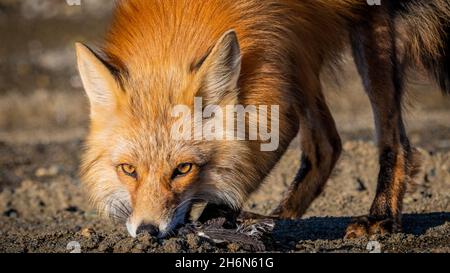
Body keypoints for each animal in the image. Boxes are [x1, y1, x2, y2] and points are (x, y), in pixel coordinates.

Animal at [76, 0, 450, 237]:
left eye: (184, 169)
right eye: (128, 170)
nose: (147, 231)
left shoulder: (277, 70)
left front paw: (215, 220)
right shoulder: (289, 53)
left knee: (394, 140)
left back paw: (380, 217)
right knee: (328, 144)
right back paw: (280, 217)